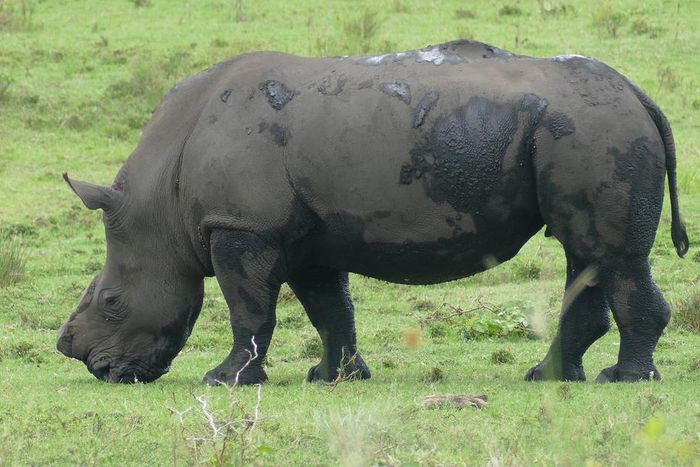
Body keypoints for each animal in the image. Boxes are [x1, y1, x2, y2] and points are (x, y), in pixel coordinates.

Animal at [57, 40, 689, 385]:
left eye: (111, 302)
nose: (86, 361)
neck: (161, 203)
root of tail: (639, 94)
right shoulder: (303, 236)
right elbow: (328, 307)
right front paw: (333, 377)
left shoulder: (243, 226)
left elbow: (249, 309)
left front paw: (224, 380)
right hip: (585, 128)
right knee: (586, 255)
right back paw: (548, 377)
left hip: (595, 130)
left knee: (612, 255)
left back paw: (621, 379)